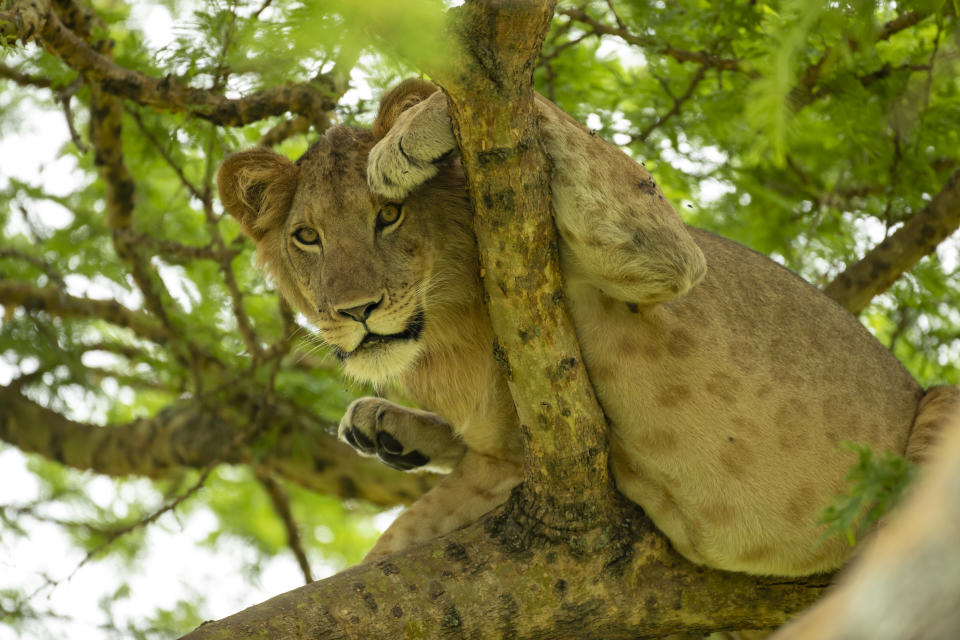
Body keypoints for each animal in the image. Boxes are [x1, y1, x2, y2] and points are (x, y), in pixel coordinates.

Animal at [219, 77, 960, 576]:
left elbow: (532, 109)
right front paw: (384, 424)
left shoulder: (656, 251)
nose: (356, 311)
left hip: (937, 410)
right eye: (307, 237)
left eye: (389, 216)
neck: (446, 330)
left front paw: (409, 138)